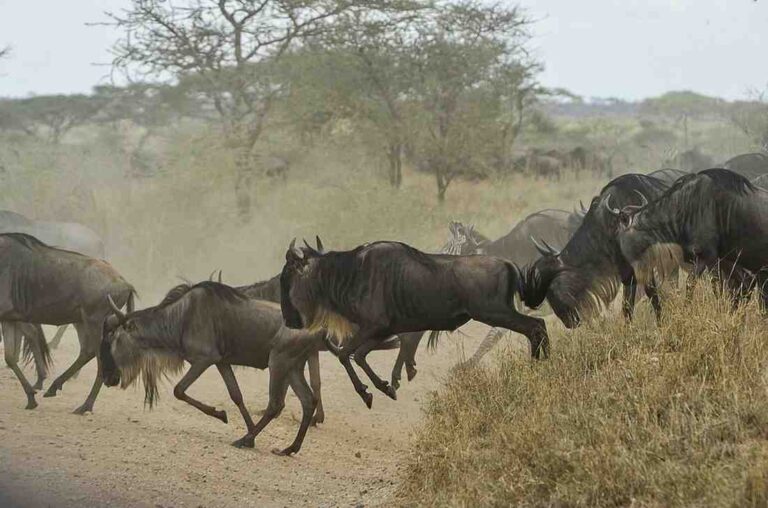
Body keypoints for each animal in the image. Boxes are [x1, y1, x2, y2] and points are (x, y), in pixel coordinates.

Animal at [0, 233, 134, 412]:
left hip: (93, 321)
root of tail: (125, 283)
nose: (115, 379)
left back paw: (86, 405)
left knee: (98, 363)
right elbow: (10, 357)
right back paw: (55, 387)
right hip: (84, 321)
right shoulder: (8, 318)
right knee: (86, 352)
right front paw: (31, 398)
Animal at [100, 281, 325, 456]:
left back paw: (244, 440)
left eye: (114, 339)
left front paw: (223, 416)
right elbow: (236, 395)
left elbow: (179, 390)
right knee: (307, 400)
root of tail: (316, 329)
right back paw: (289, 448)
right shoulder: (221, 362)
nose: (108, 378)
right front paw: (249, 431)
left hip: (278, 362)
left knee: (276, 404)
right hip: (293, 367)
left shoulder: (204, 359)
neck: (180, 317)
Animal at [280, 240, 548, 408]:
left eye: (288, 276)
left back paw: (535, 372)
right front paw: (385, 387)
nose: (288, 319)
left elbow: (346, 354)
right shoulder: (381, 331)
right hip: (499, 312)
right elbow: (359, 355)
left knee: (534, 326)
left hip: (495, 312)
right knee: (539, 326)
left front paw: (369, 393)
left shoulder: (374, 328)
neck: (353, 273)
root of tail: (509, 264)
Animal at [616, 169, 768, 307]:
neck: (685, 208)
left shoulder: (705, 257)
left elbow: (690, 285)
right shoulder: (720, 259)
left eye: (619, 236)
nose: (625, 276)